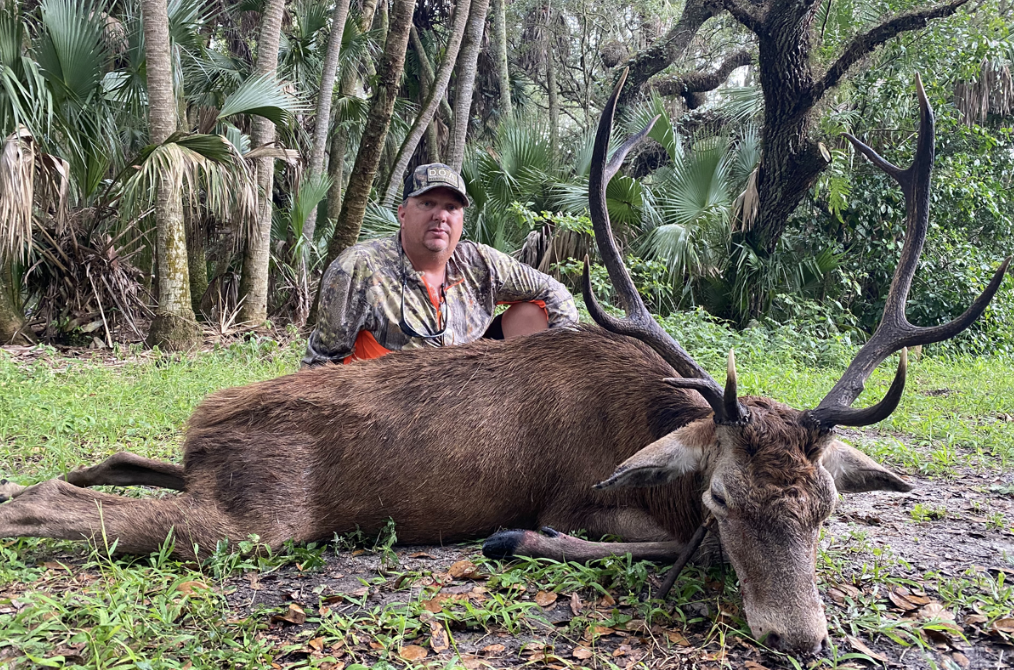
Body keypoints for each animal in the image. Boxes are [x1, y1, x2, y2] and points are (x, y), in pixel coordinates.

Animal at [1, 71, 1008, 655]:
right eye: (721, 499)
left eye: (828, 506)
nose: (799, 640)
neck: (654, 435)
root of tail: (204, 422)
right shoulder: (578, 496)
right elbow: (632, 546)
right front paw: (512, 539)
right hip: (256, 514)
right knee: (57, 500)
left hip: (207, 478)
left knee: (122, 463)